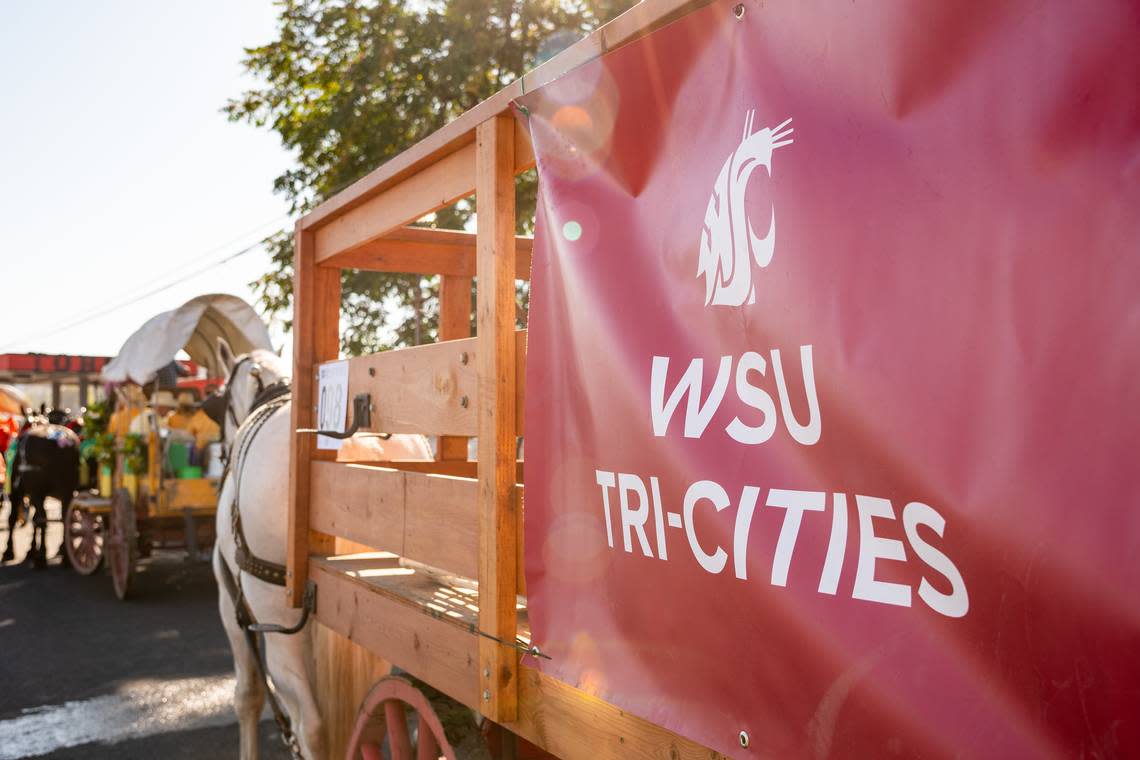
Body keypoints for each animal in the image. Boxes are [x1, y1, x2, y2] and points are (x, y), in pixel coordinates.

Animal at [2, 426, 79, 567]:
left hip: (37, 490)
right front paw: (31, 550)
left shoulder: (17, 491)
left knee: (43, 518)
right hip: (66, 489)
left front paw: (9, 551)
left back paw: (42, 557)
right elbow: (33, 519)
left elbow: (13, 518)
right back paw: (66, 557)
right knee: (64, 518)